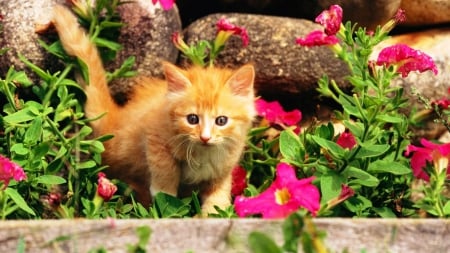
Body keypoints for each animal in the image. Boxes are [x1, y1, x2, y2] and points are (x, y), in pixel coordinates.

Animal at [51, 4, 255, 214]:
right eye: (192, 119)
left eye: (221, 121)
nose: (205, 137)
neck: (203, 153)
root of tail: (115, 120)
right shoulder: (154, 136)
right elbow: (164, 167)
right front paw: (164, 194)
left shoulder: (224, 167)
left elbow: (218, 197)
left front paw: (213, 213)